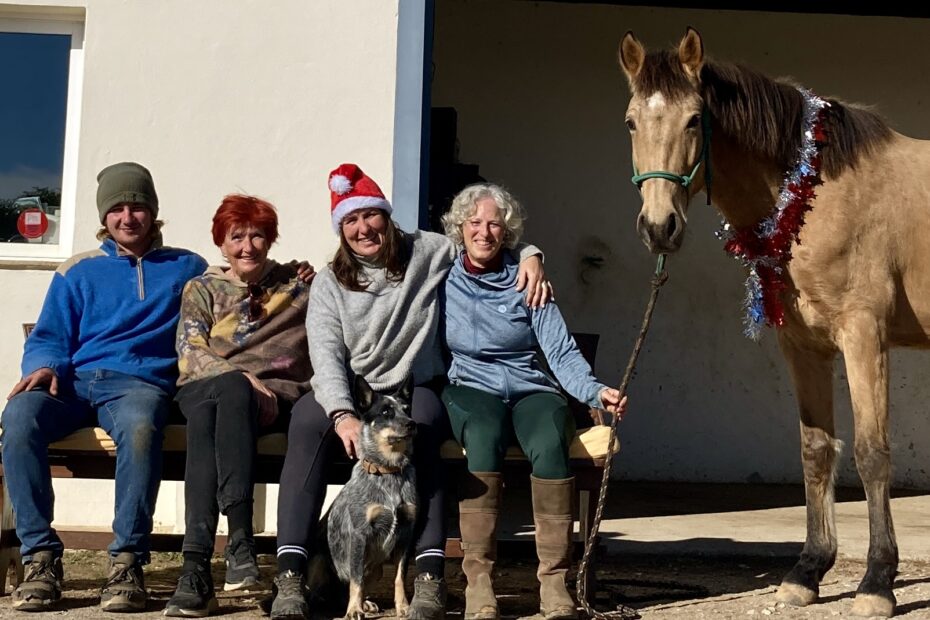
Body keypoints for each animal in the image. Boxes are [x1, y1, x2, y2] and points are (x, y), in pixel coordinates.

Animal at [308, 376, 416, 616]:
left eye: (406, 409)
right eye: (386, 412)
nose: (412, 423)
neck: (388, 472)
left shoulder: (405, 535)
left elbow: (399, 577)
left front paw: (404, 606)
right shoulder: (360, 534)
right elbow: (356, 579)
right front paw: (354, 610)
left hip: (376, 570)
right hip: (319, 561)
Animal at [616, 27, 928, 616]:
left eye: (695, 119)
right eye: (630, 121)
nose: (659, 227)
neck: (817, 189)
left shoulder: (864, 335)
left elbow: (872, 454)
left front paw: (876, 582)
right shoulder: (803, 345)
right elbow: (815, 451)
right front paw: (807, 571)